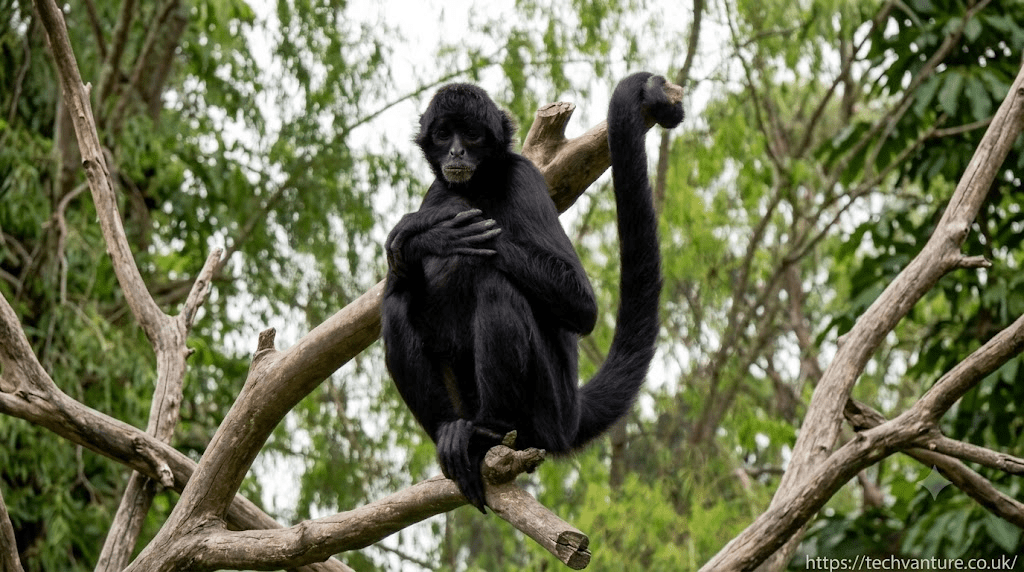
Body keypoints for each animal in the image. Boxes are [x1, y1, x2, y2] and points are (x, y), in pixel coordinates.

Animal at [381, 73, 683, 512]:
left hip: (546, 407)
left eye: (471, 134)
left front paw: (432, 226)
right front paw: (430, 234)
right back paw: (453, 433)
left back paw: (488, 433)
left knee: (497, 285)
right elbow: (399, 277)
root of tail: (570, 417)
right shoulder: (436, 189)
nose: (455, 150)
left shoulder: (523, 177)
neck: (478, 189)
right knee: (397, 304)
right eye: (443, 134)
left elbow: (582, 307)